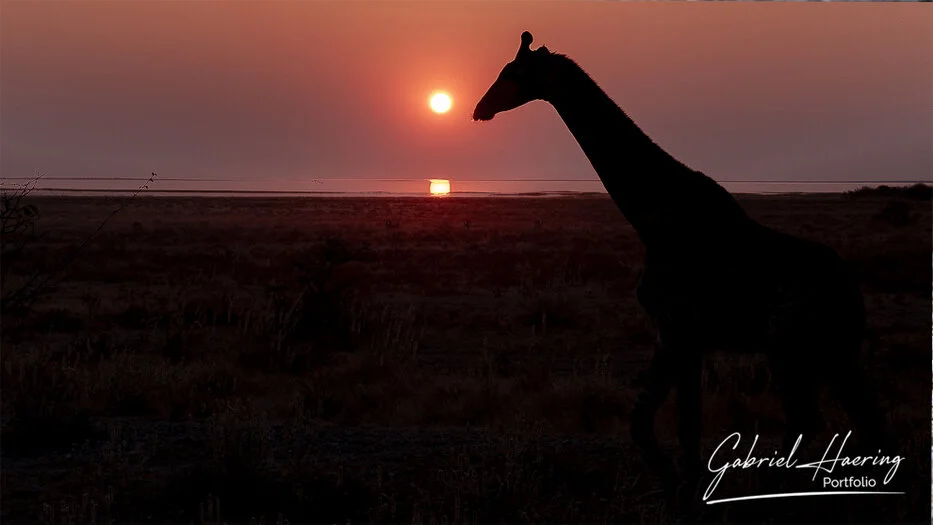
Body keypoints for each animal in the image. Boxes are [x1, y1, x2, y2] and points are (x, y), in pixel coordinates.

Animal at [473, 32, 888, 489]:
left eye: (513, 73)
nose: (479, 109)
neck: (654, 220)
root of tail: (852, 290)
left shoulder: (681, 330)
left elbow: (686, 428)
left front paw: (688, 485)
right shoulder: (669, 335)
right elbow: (644, 423)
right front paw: (672, 476)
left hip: (801, 351)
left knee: (821, 420)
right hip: (823, 353)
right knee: (854, 421)